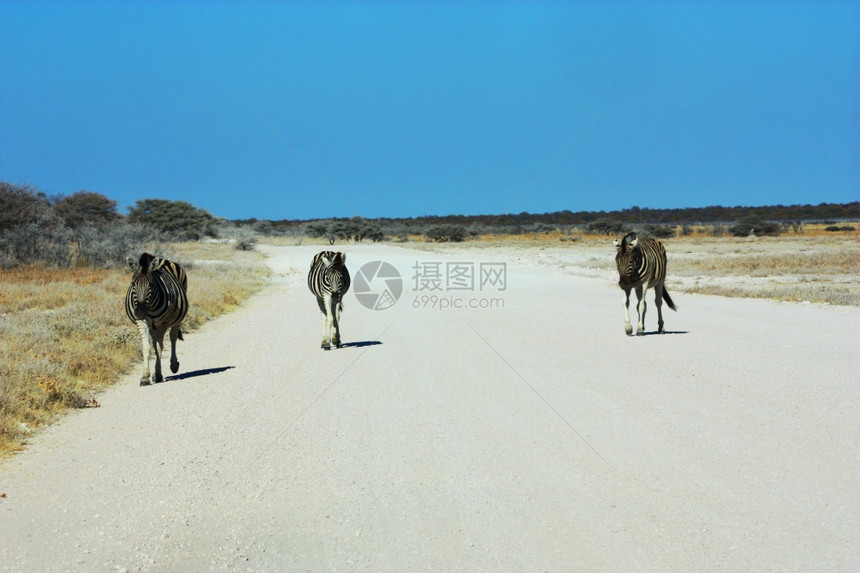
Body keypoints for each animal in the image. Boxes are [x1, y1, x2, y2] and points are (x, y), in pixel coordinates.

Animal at [126, 251, 188, 382]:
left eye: (150, 284)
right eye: (133, 284)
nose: (139, 312)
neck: (149, 306)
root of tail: (163, 260)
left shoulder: (162, 323)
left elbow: (160, 348)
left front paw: (158, 374)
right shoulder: (142, 322)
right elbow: (147, 347)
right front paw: (145, 376)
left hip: (176, 318)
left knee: (173, 337)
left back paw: (173, 365)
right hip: (153, 325)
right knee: (155, 342)